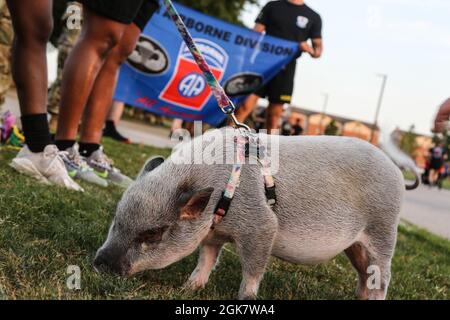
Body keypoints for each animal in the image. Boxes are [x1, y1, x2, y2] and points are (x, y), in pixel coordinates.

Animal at [96, 127, 414, 300]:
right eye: (117, 220)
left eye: (153, 233)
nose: (99, 263)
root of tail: (396, 171)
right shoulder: (213, 234)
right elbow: (205, 260)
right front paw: (188, 289)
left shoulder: (261, 227)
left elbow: (252, 270)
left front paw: (244, 297)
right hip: (355, 245)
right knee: (364, 272)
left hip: (383, 230)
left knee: (383, 276)